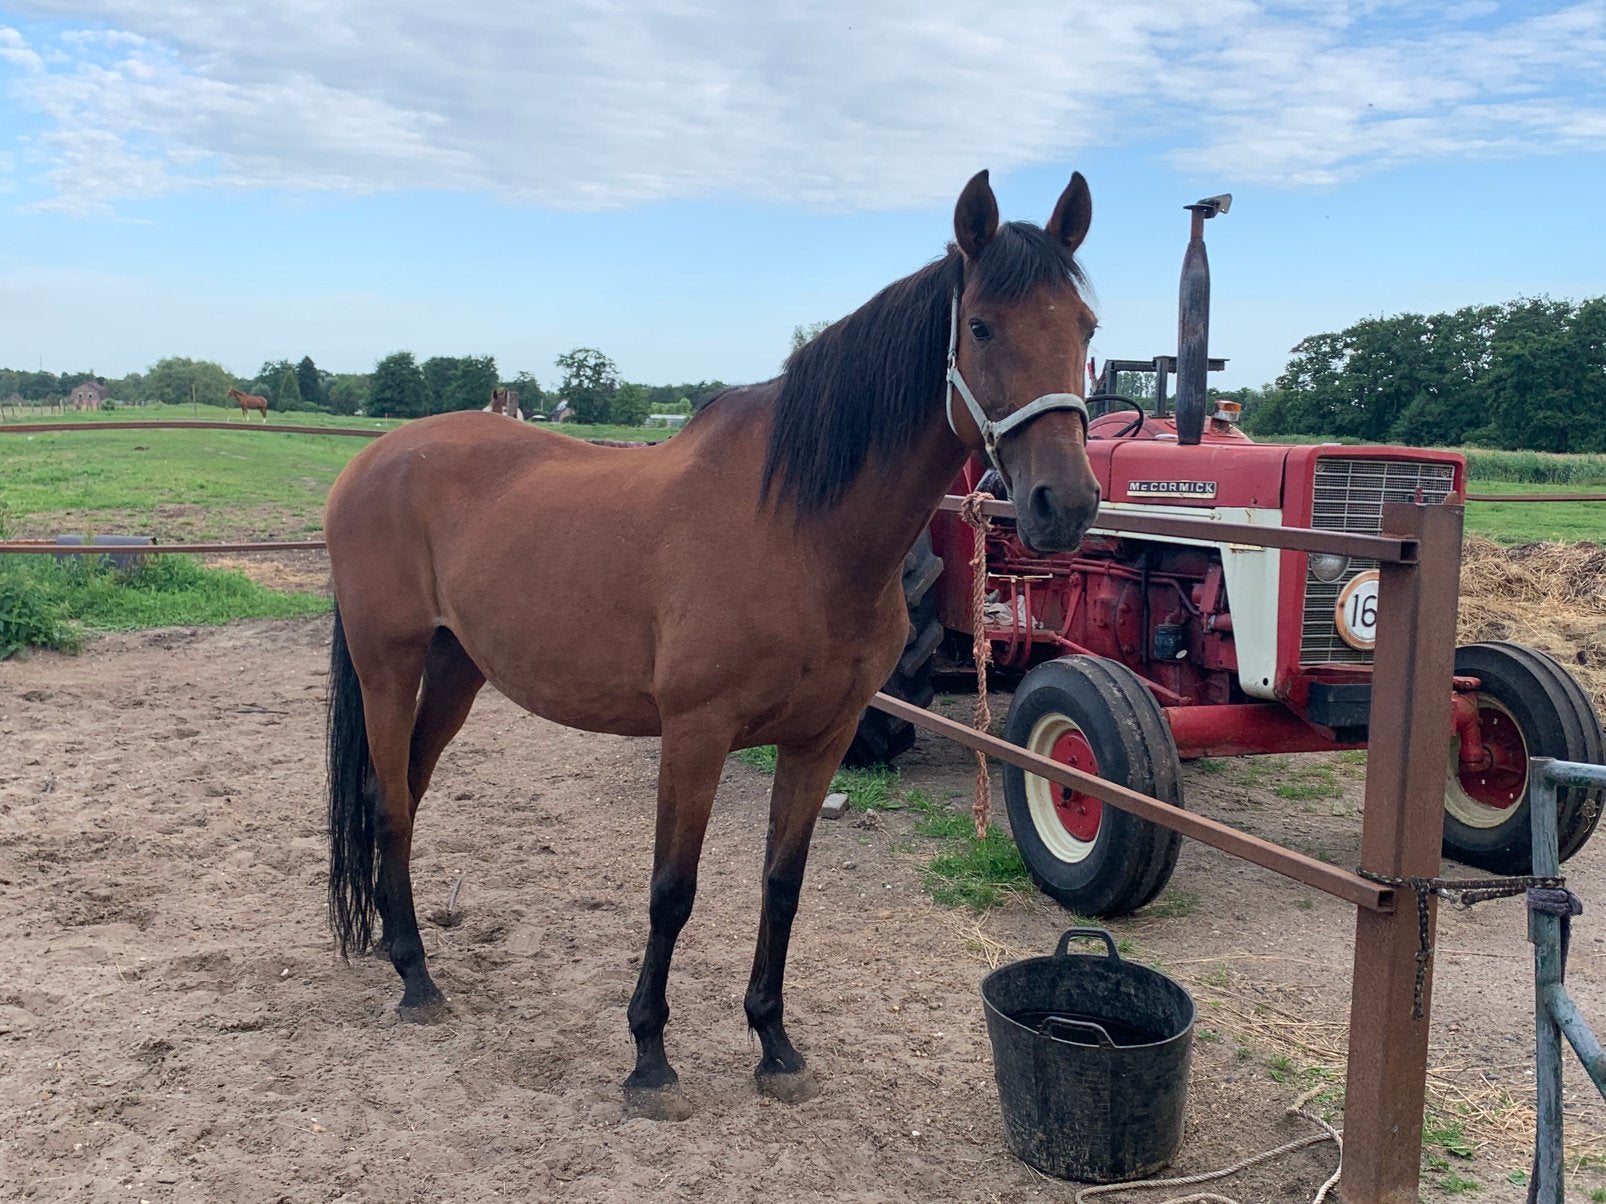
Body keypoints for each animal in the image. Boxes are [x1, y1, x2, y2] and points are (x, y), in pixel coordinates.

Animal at [323, 169, 1103, 1120]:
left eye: (1086, 328)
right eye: (983, 325)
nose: (1063, 503)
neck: (799, 530)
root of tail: (374, 461)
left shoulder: (823, 738)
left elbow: (782, 885)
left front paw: (774, 1044)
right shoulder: (695, 735)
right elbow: (672, 893)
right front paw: (650, 1061)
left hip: (454, 668)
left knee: (404, 794)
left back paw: (397, 949)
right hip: (388, 664)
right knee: (389, 800)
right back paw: (415, 980)